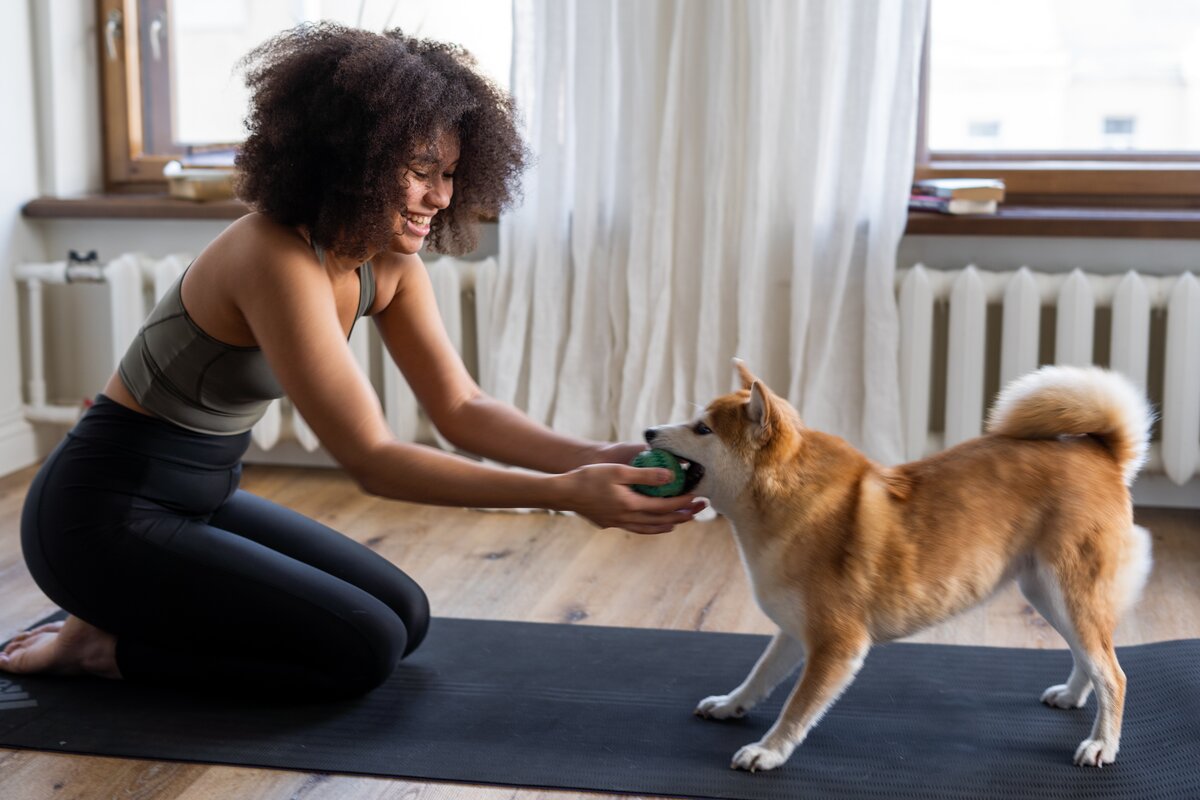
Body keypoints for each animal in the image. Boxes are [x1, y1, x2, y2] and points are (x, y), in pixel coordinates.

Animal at [648, 362, 1152, 767]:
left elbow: (797, 708)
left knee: (1114, 674)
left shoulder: (838, 644)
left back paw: (1102, 744)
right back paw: (1072, 695)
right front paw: (730, 705)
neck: (786, 503)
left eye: (702, 429)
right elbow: (760, 675)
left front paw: (768, 752)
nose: (649, 432)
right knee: (1091, 658)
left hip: (1069, 592)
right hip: (1046, 593)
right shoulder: (795, 631)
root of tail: (1102, 453)